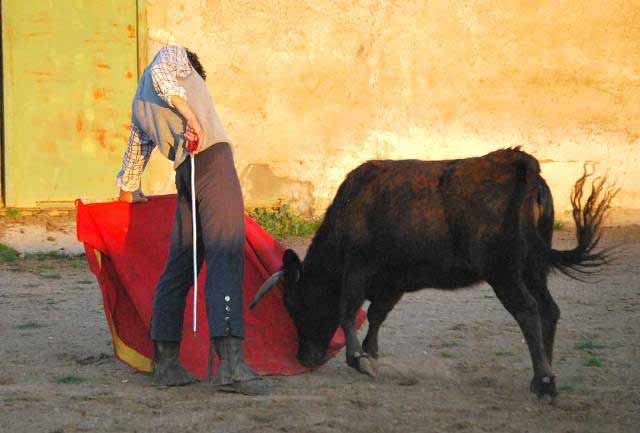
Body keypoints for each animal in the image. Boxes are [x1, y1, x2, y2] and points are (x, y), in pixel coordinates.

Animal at [250, 148, 616, 398]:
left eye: (295, 306)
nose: (305, 358)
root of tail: (519, 164)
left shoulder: (358, 266)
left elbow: (348, 308)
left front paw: (358, 359)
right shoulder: (393, 280)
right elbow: (377, 314)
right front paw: (371, 354)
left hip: (505, 272)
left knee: (527, 311)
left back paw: (544, 380)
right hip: (534, 267)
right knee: (548, 310)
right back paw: (542, 377)